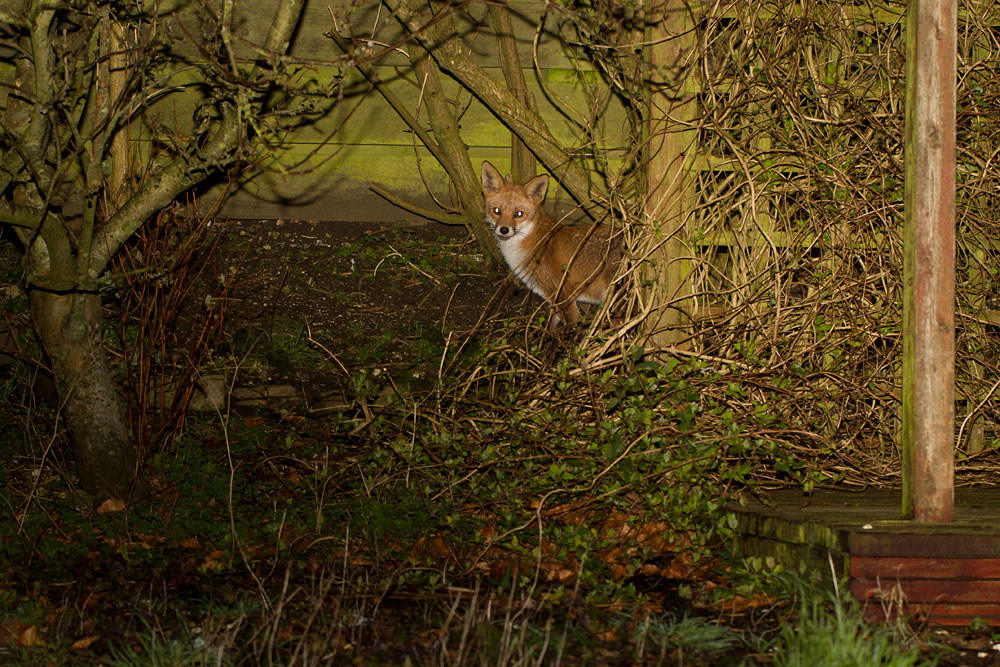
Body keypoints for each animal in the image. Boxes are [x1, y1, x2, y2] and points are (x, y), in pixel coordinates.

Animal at [481, 160, 621, 328]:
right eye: (497, 211)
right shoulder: (554, 299)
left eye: (518, 214)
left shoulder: (562, 295)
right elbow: (552, 324)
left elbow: (569, 328)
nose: (503, 230)